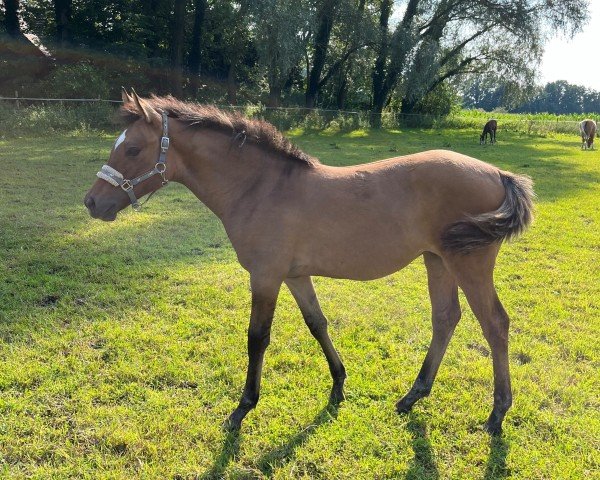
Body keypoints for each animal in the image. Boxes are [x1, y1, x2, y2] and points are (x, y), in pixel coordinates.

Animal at [83, 89, 536, 436]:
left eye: (132, 149)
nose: (91, 203)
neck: (261, 187)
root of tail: (499, 174)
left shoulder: (265, 276)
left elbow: (257, 338)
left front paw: (243, 407)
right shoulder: (296, 276)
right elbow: (317, 323)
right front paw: (338, 386)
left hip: (468, 265)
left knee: (495, 324)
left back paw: (497, 413)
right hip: (437, 261)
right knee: (445, 318)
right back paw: (413, 395)